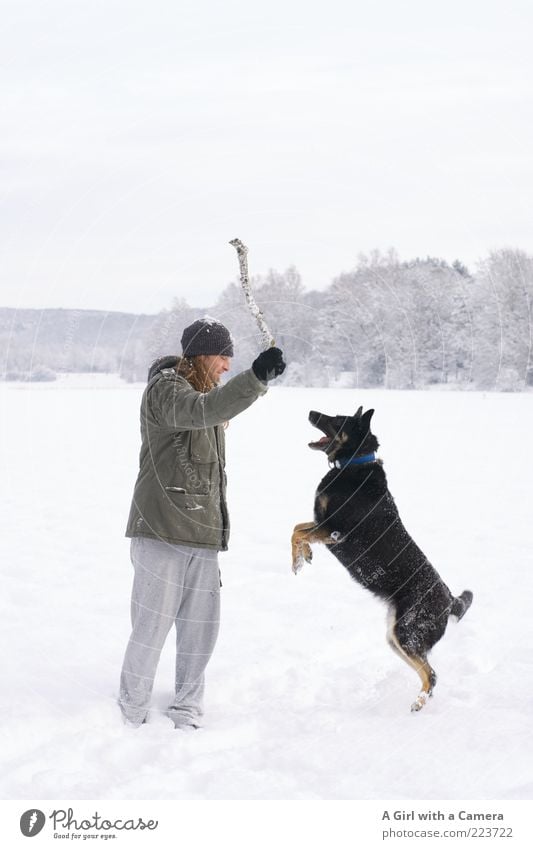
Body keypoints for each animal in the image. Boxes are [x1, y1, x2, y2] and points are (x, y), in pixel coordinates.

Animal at [290, 408, 474, 712]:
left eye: (337, 419)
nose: (311, 412)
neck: (352, 464)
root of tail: (449, 600)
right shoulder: (322, 525)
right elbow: (298, 528)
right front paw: (304, 556)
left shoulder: (334, 531)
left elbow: (296, 532)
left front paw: (297, 560)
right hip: (396, 638)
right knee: (427, 671)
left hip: (407, 633)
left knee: (432, 674)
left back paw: (418, 704)